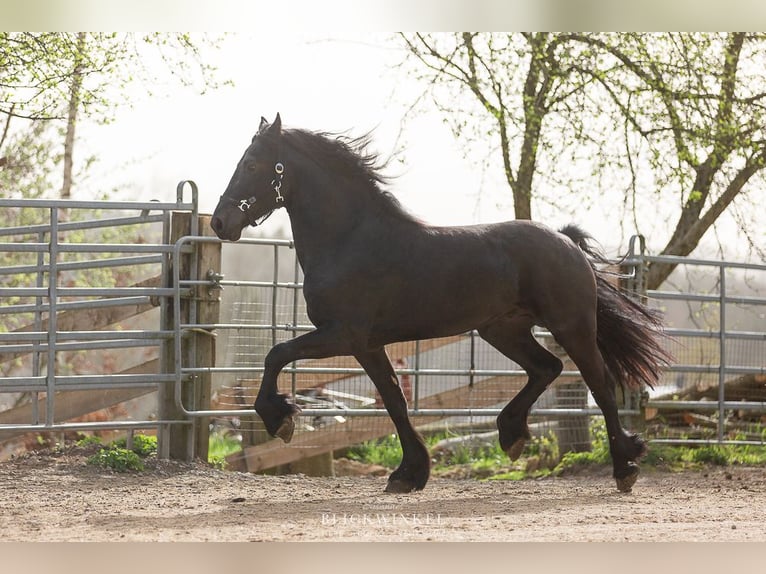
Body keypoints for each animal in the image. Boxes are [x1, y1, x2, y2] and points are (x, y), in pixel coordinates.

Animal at [212, 116, 672, 496]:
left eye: (251, 164)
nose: (219, 222)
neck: (350, 240)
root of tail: (565, 240)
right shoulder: (368, 345)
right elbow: (394, 401)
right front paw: (409, 474)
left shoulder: (343, 335)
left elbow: (276, 354)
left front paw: (281, 419)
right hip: (503, 329)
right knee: (547, 368)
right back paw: (512, 435)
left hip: (571, 326)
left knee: (601, 384)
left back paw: (624, 467)